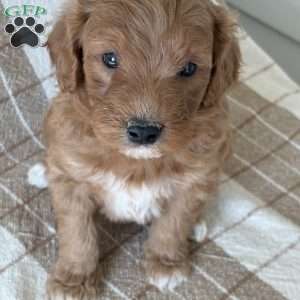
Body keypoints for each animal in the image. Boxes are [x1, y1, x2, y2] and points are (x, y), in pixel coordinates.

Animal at [42, 0, 240, 296]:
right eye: (110, 59)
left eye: (189, 68)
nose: (145, 131)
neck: (137, 162)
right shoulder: (71, 179)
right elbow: (77, 233)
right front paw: (74, 280)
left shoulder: (195, 179)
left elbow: (174, 223)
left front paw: (166, 263)